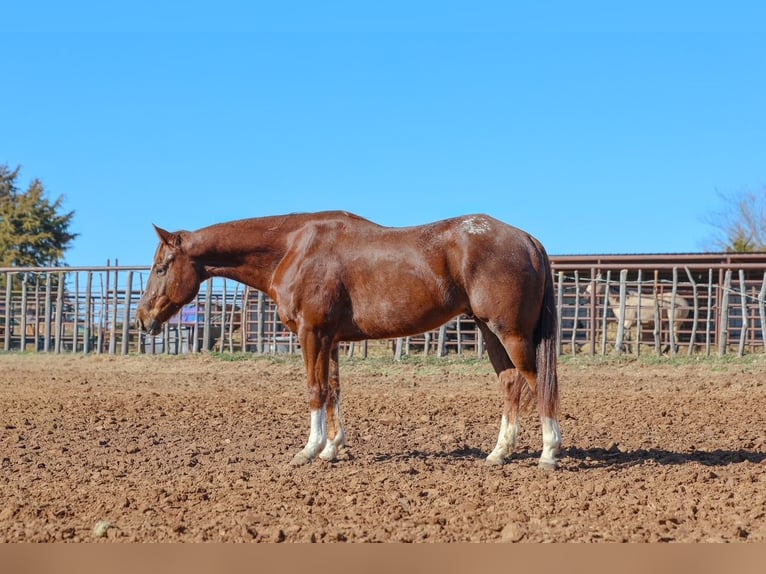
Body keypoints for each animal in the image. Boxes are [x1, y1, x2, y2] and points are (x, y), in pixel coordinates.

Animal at [135, 211, 562, 469]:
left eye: (161, 267)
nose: (142, 319)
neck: (293, 248)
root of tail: (528, 240)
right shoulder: (331, 339)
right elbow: (334, 390)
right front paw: (331, 448)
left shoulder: (311, 334)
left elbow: (315, 390)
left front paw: (308, 450)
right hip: (491, 331)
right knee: (510, 383)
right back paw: (499, 453)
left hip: (511, 333)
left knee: (537, 383)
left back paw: (549, 452)